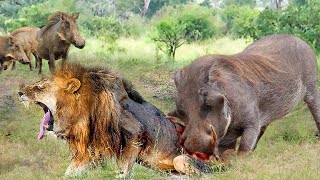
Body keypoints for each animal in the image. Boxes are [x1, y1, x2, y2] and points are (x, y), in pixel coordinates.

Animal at [18, 64, 211, 178]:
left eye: (40, 87)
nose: (19, 92)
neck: (83, 114)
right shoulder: (92, 147)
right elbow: (70, 172)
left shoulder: (135, 132)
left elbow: (122, 169)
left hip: (183, 159)